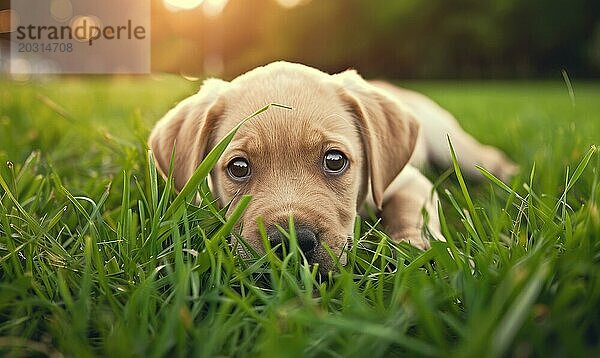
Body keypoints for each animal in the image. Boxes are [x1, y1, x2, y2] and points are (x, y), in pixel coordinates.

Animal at [149, 61, 516, 270]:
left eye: (335, 160)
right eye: (238, 167)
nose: (292, 241)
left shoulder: (408, 182)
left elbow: (411, 211)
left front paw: (417, 247)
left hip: (450, 141)